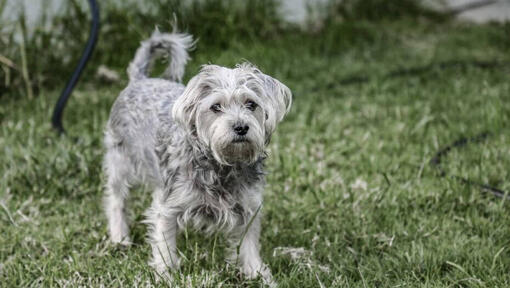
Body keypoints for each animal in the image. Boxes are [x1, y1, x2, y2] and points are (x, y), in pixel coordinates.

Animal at [101, 28, 290, 284]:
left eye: (251, 104)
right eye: (216, 107)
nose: (241, 127)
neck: (222, 165)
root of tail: (139, 79)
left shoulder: (249, 207)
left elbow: (249, 244)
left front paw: (258, 273)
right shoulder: (168, 206)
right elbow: (165, 244)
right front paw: (165, 275)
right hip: (120, 161)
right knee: (116, 199)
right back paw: (120, 236)